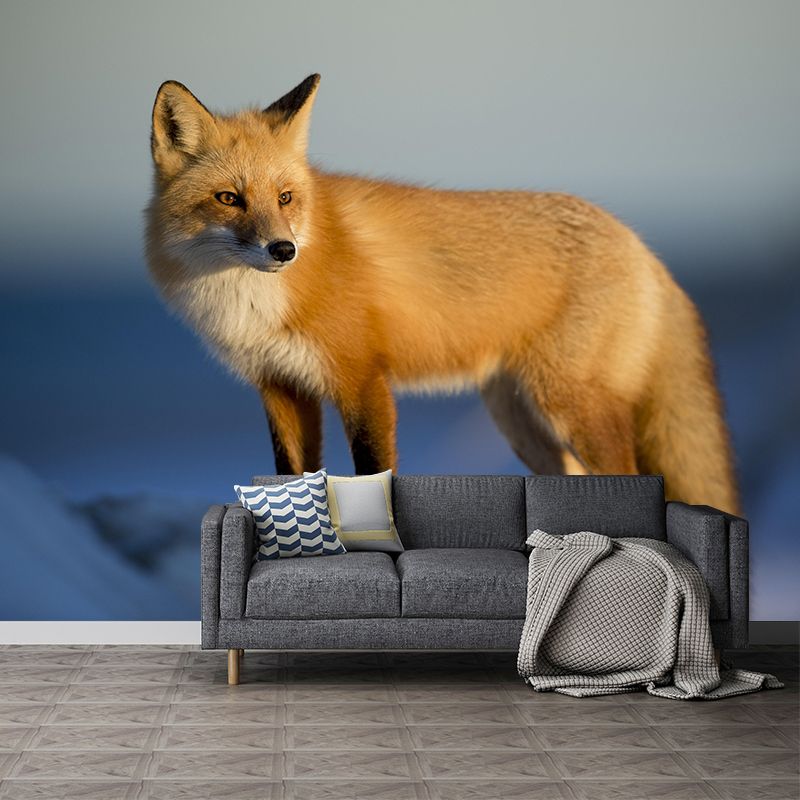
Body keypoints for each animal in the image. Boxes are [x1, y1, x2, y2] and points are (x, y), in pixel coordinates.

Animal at [146, 74, 740, 514]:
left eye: (286, 197)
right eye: (229, 198)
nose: (283, 250)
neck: (253, 302)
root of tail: (640, 245)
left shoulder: (362, 379)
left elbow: (373, 473)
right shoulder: (280, 387)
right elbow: (291, 476)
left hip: (573, 407)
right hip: (523, 423)